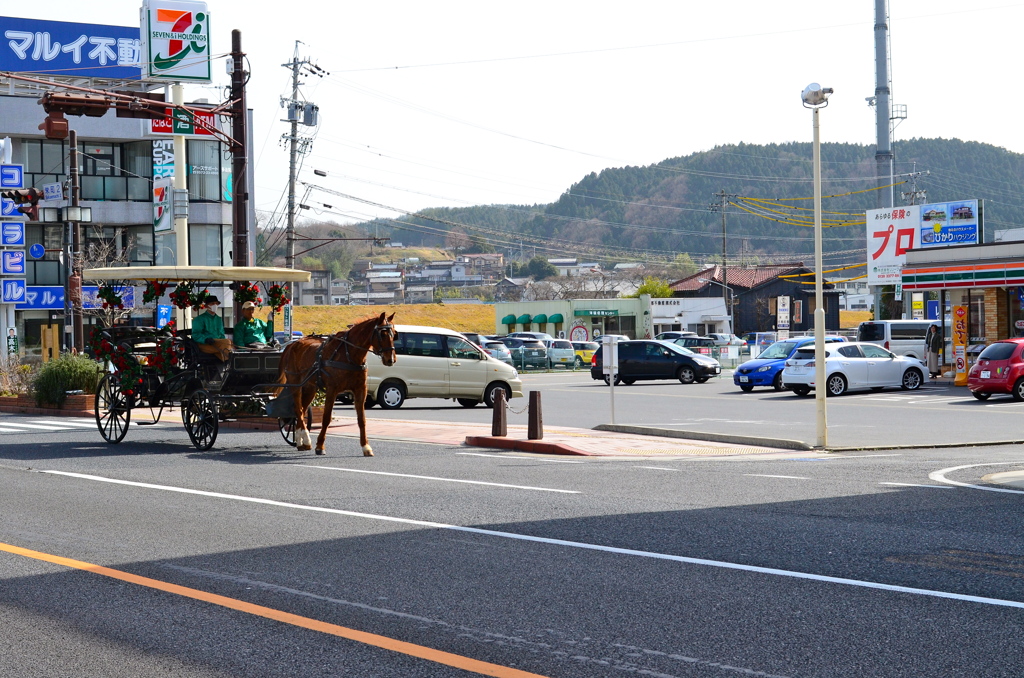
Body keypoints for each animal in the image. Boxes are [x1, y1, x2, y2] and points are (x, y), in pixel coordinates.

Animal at [278, 313, 397, 456]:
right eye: (382, 334)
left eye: (395, 334)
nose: (391, 359)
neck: (349, 355)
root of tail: (292, 344)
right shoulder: (332, 390)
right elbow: (326, 418)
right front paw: (320, 445)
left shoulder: (360, 390)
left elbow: (362, 420)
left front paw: (366, 446)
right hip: (295, 383)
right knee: (298, 409)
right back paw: (305, 438)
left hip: (310, 387)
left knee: (302, 409)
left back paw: (301, 441)